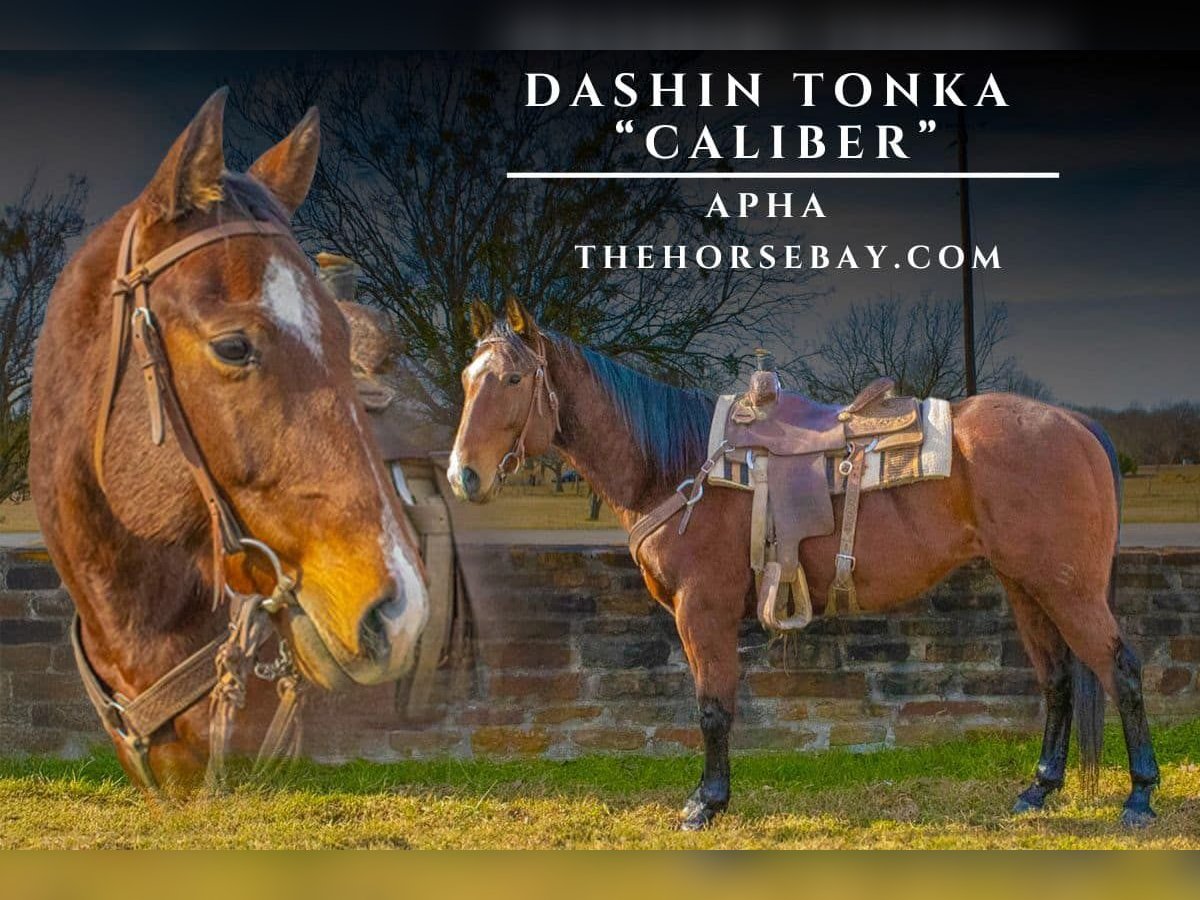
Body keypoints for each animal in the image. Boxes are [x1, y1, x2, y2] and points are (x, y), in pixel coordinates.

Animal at [447, 296, 1159, 831]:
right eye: (465, 379)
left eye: (513, 379)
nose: (463, 475)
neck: (675, 465)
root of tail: (1074, 424)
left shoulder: (702, 608)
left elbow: (712, 705)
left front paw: (706, 804)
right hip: (1025, 584)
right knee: (1058, 678)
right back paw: (1039, 789)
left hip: (1068, 588)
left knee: (1120, 669)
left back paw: (1140, 796)